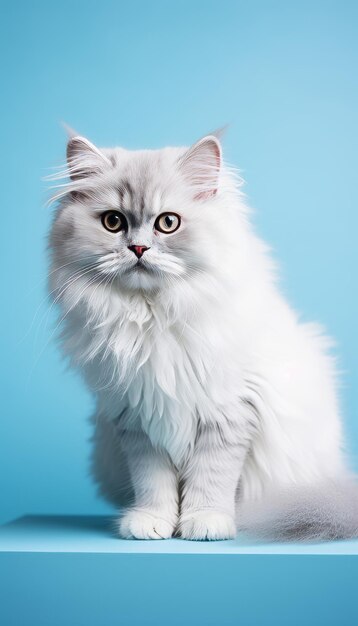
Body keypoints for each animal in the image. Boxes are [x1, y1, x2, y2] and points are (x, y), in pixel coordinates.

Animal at [48, 130, 358, 536]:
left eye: (168, 223)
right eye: (113, 222)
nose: (138, 248)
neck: (152, 317)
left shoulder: (229, 409)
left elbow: (212, 477)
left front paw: (206, 522)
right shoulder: (137, 416)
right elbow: (152, 481)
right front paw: (152, 522)